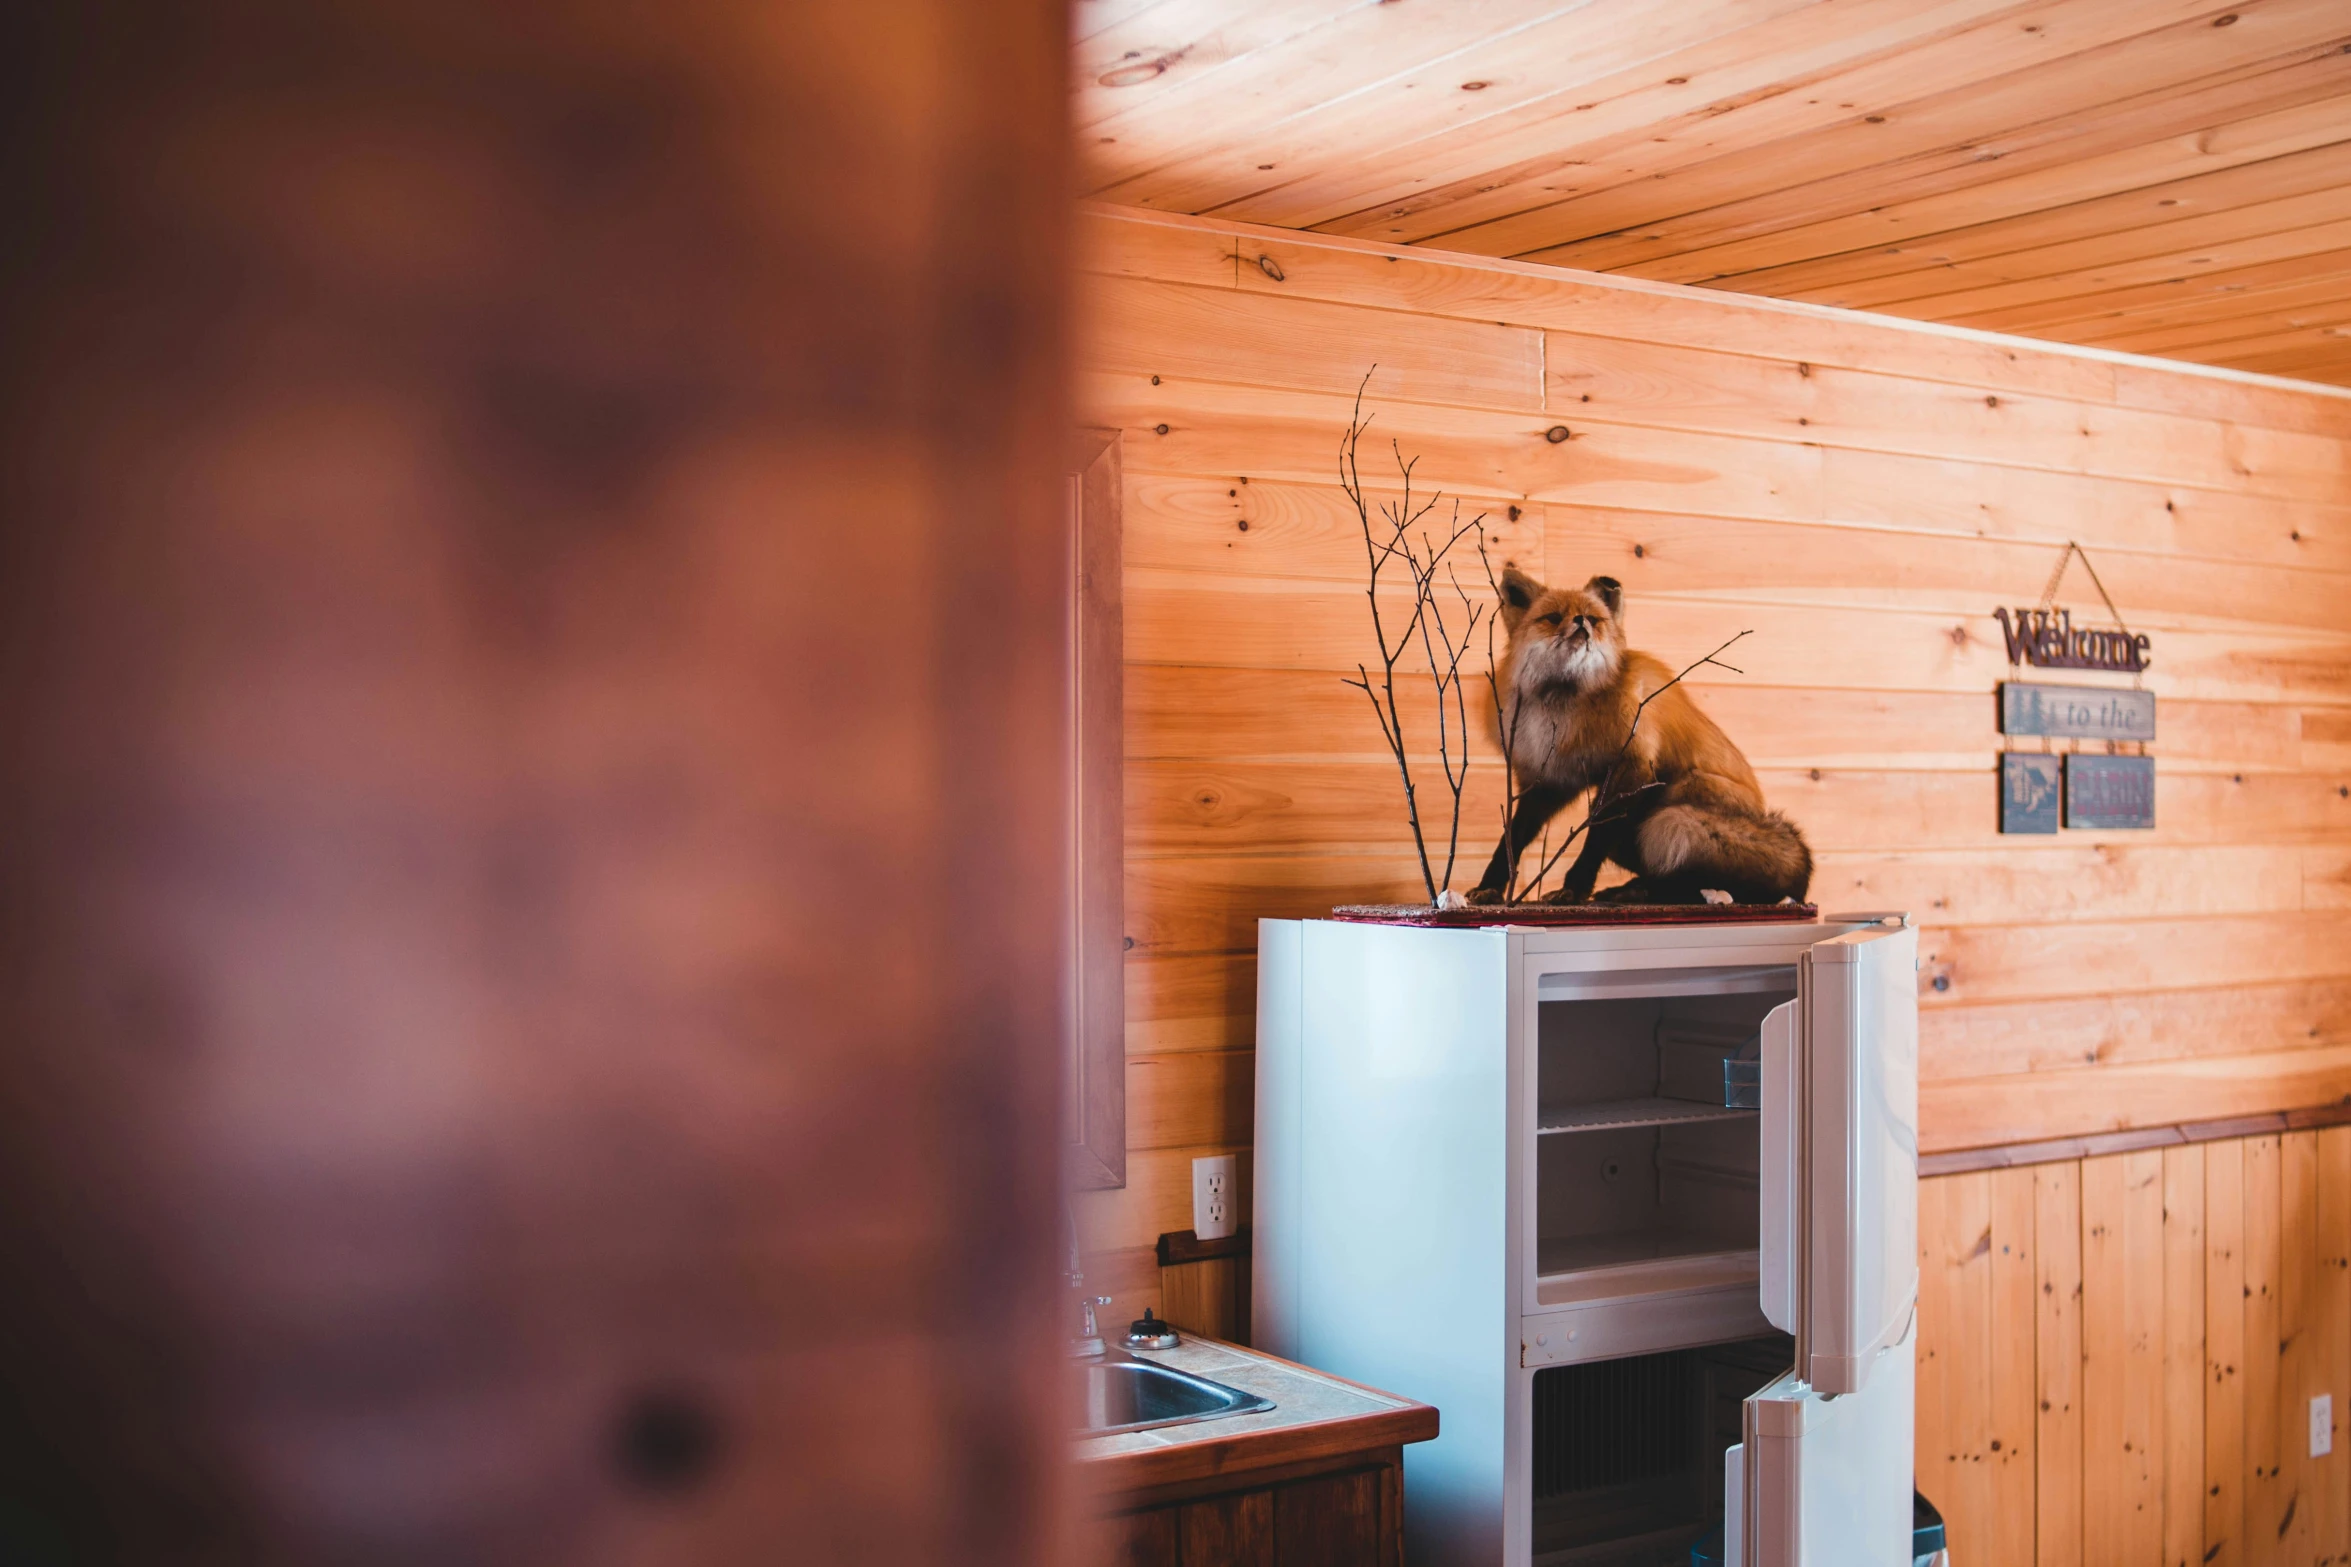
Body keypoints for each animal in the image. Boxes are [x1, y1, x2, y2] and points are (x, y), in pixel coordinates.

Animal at [1467, 573, 1814, 906]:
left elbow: (1595, 837)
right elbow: (1511, 839)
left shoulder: (1633, 767)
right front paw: (1489, 887)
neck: (1562, 704)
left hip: (1671, 811)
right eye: (1553, 617)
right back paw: (1635, 889)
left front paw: (1573, 890)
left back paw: (1644, 892)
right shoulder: (1550, 780)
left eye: (1593, 619)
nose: (1580, 622)